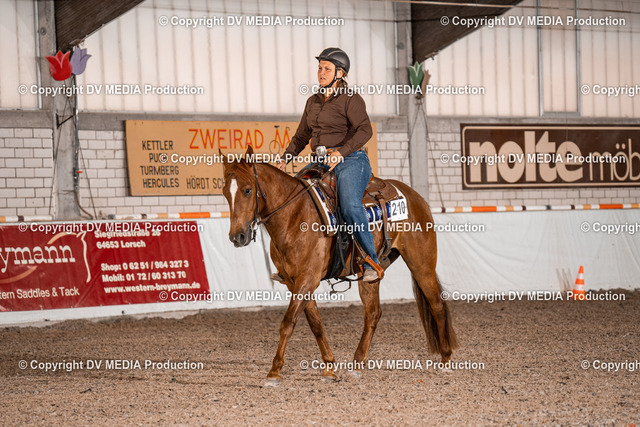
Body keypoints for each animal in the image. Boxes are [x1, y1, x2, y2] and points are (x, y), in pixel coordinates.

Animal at [221, 146, 458, 386]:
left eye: (247, 190)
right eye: (225, 192)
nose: (237, 236)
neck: (294, 215)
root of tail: (416, 197)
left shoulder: (307, 279)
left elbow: (288, 322)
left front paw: (274, 371)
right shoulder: (295, 282)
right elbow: (315, 323)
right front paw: (329, 367)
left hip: (421, 264)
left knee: (437, 305)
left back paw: (446, 360)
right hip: (371, 275)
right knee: (373, 314)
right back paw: (357, 364)